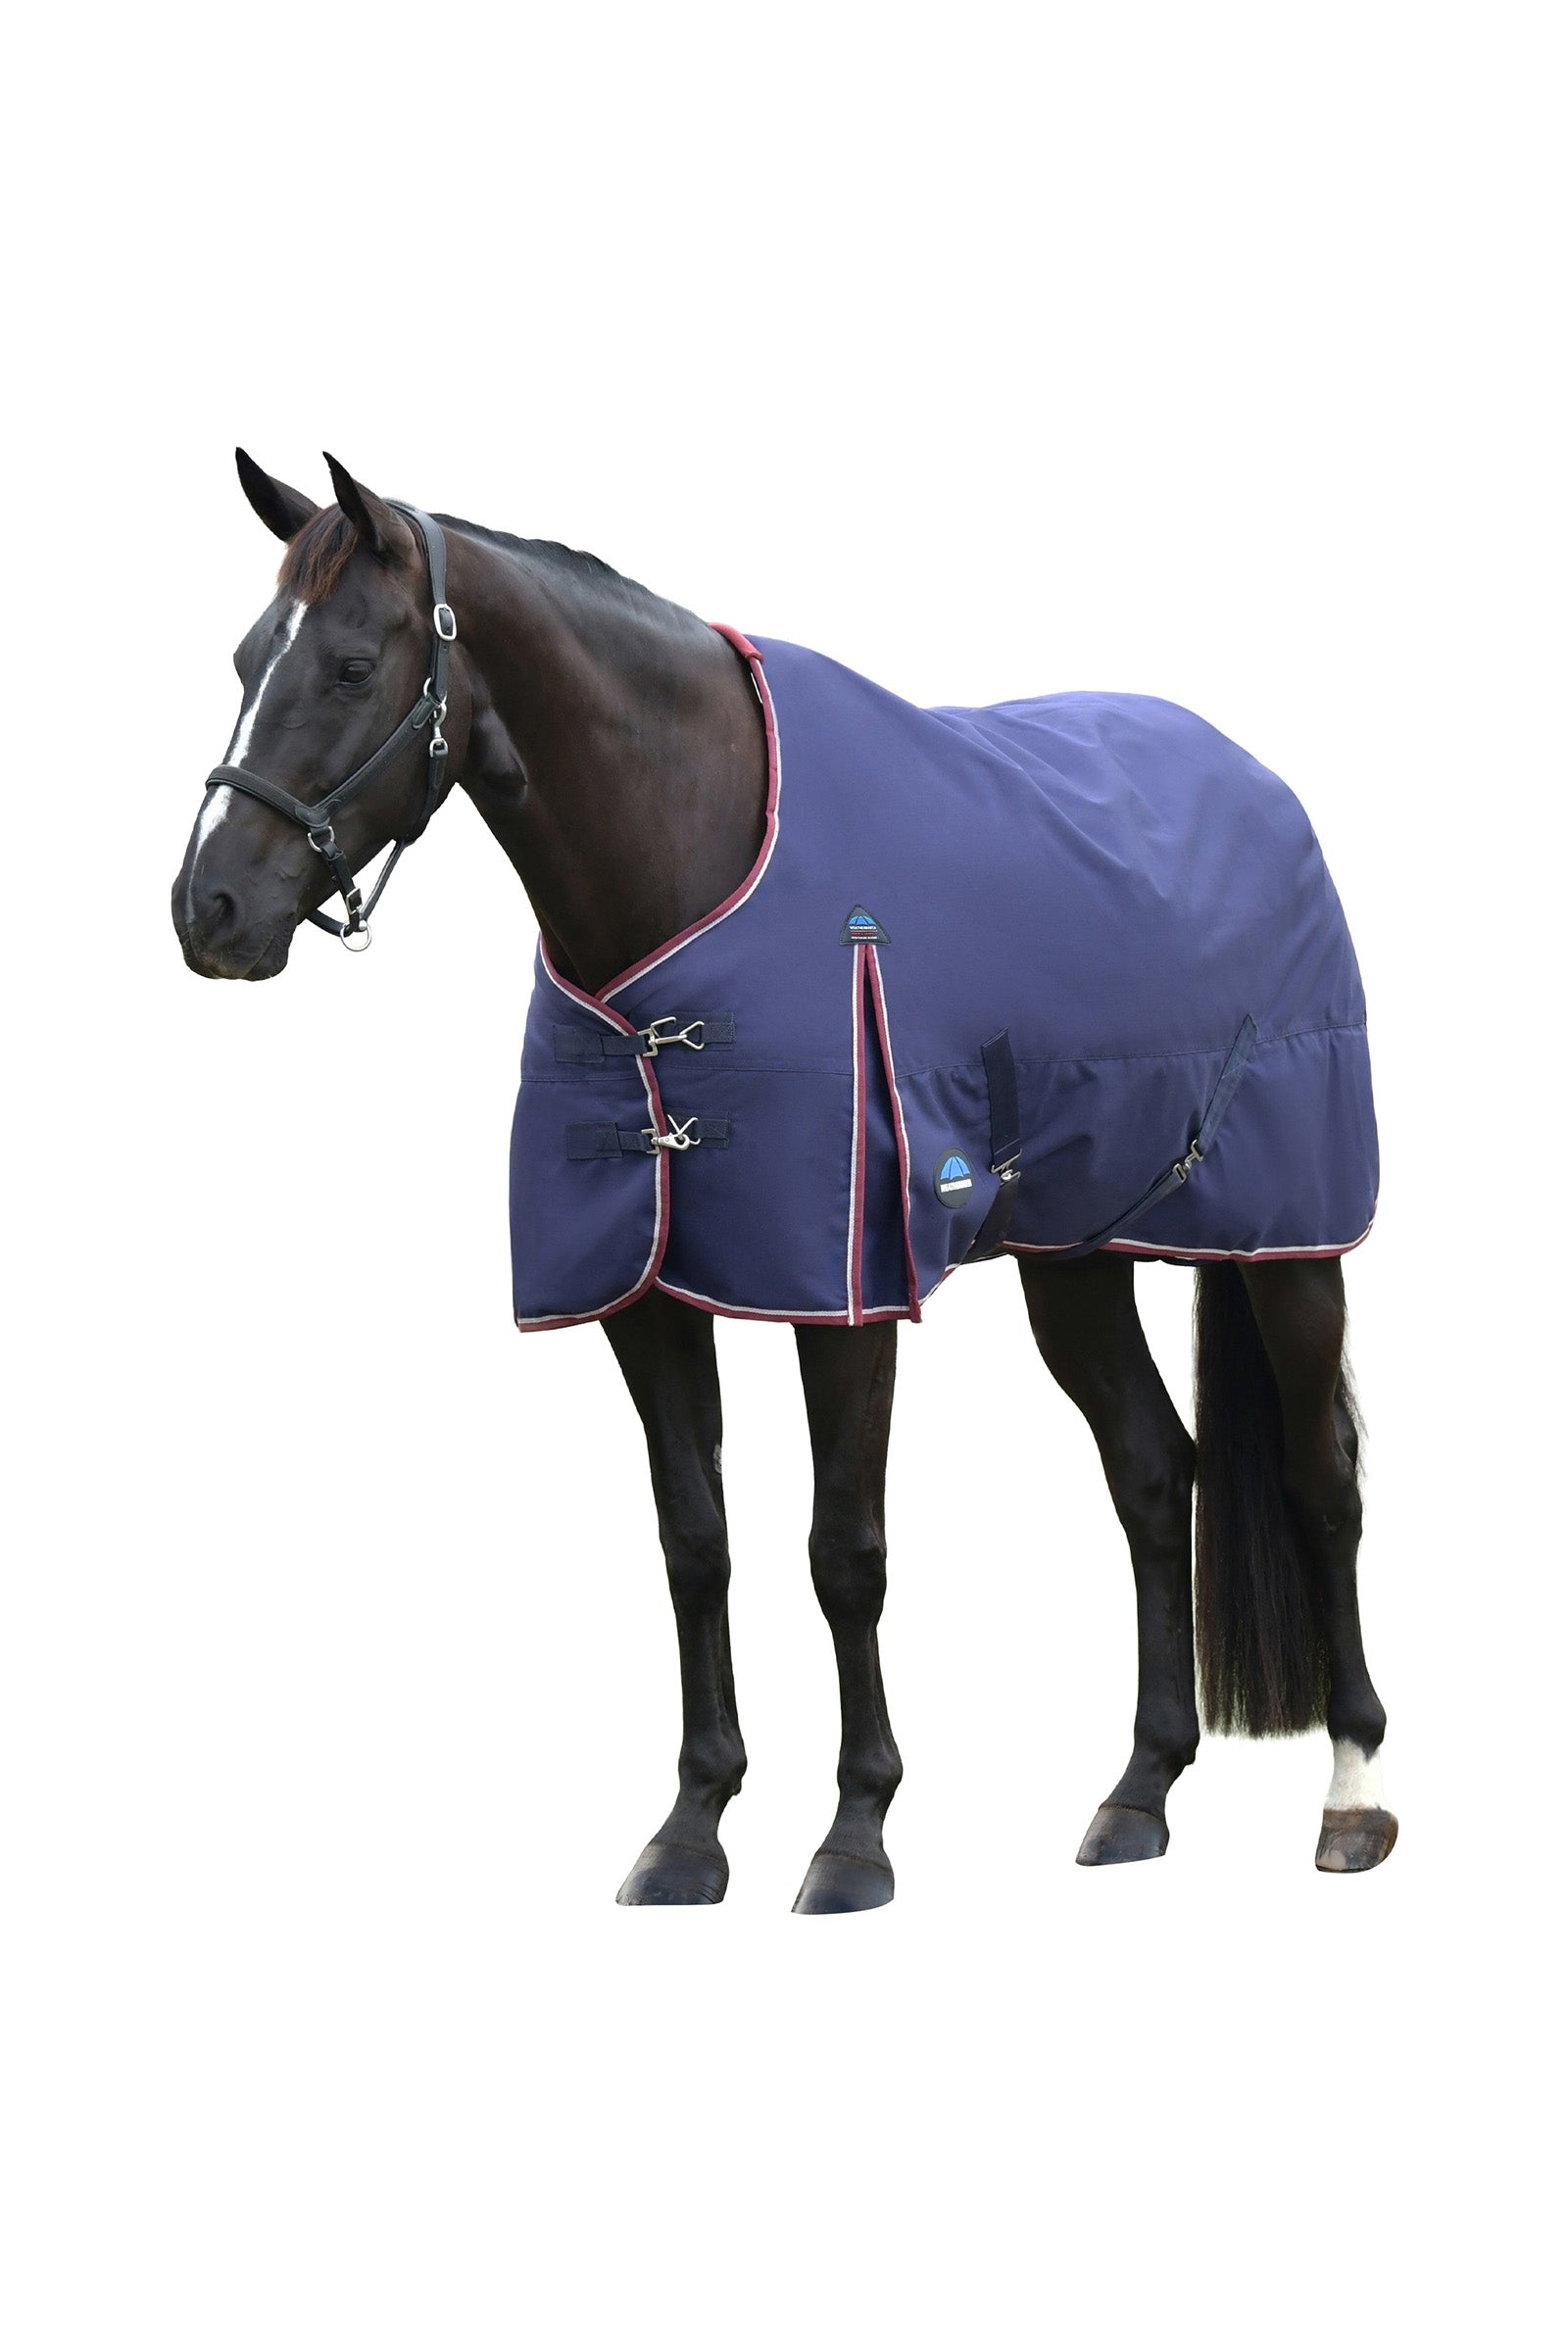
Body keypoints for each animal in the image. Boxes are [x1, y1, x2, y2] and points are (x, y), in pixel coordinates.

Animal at [173, 450, 1395, 1910]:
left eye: (353, 665)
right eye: (247, 657)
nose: (207, 911)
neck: (689, 869)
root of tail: (1255, 782)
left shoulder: (845, 1292)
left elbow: (844, 1552)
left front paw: (855, 1832)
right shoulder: (645, 1296)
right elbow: (694, 1544)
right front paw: (691, 1827)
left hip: (1291, 1246)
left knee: (1322, 1480)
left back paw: (1353, 1794)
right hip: (1077, 1258)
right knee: (1155, 1475)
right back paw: (1138, 1793)